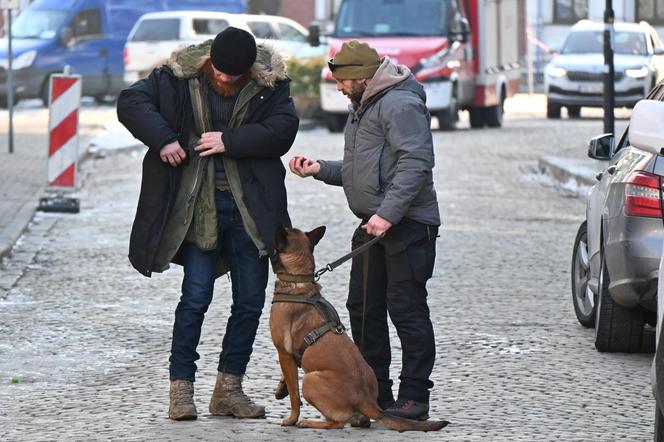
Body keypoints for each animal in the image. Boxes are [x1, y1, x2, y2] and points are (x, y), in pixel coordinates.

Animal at [268, 224, 446, 432]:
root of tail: (366, 401)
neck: (298, 281)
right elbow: (288, 379)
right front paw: (281, 388)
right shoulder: (288, 356)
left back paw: (310, 422)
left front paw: (291, 418)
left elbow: (294, 395)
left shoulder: (283, 353)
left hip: (310, 380)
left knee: (336, 423)